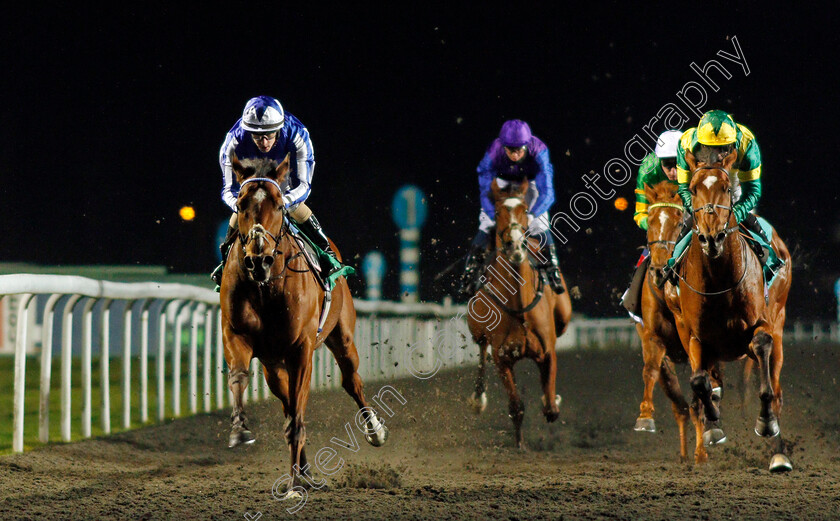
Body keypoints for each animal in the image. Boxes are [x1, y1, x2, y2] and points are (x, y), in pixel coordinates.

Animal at [217, 154, 388, 496]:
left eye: (279, 204)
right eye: (240, 204)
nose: (258, 259)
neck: (265, 287)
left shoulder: (301, 349)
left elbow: (297, 415)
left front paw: (294, 485)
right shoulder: (237, 336)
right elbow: (240, 377)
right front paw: (240, 429)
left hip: (342, 338)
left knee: (352, 382)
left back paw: (373, 431)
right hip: (273, 366)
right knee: (287, 403)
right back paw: (306, 472)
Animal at [462, 178, 576, 446]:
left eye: (524, 210)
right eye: (496, 212)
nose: (514, 244)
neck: (519, 306)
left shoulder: (547, 351)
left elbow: (550, 407)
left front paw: (552, 399)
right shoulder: (502, 358)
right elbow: (516, 406)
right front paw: (519, 443)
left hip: (564, 315)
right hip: (476, 326)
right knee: (481, 350)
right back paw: (478, 399)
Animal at [668, 150, 796, 472]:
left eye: (726, 188)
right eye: (694, 189)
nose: (712, 237)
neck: (719, 281)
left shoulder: (761, 327)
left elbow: (762, 357)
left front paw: (766, 423)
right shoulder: (695, 336)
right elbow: (699, 381)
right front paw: (713, 425)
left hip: (779, 324)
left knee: (776, 388)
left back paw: (779, 453)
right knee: (712, 382)